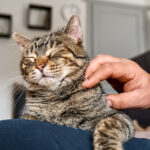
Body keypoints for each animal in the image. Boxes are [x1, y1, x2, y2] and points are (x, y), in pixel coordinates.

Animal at [12, 15, 134, 150]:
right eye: (31, 58)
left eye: (54, 51)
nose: (39, 65)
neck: (54, 97)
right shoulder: (28, 116)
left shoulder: (118, 116)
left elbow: (106, 126)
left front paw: (107, 147)